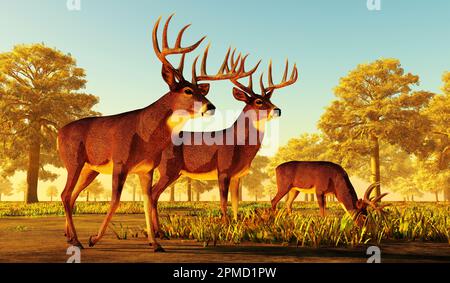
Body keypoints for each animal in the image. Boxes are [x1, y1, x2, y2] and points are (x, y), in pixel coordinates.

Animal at [59, 14, 246, 252]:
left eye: (200, 90)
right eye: (188, 90)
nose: (210, 106)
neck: (145, 134)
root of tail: (59, 132)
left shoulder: (146, 169)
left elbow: (147, 202)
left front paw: (155, 243)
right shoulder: (121, 162)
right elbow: (115, 201)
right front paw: (94, 238)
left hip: (90, 169)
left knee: (72, 196)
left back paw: (69, 236)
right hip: (73, 161)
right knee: (65, 194)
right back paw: (77, 240)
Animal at [149, 56, 298, 236]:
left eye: (269, 99)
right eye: (259, 101)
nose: (277, 110)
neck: (238, 144)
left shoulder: (237, 176)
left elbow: (235, 203)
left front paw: (236, 226)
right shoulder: (223, 170)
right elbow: (222, 201)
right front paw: (226, 227)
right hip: (168, 169)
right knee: (153, 194)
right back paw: (158, 231)